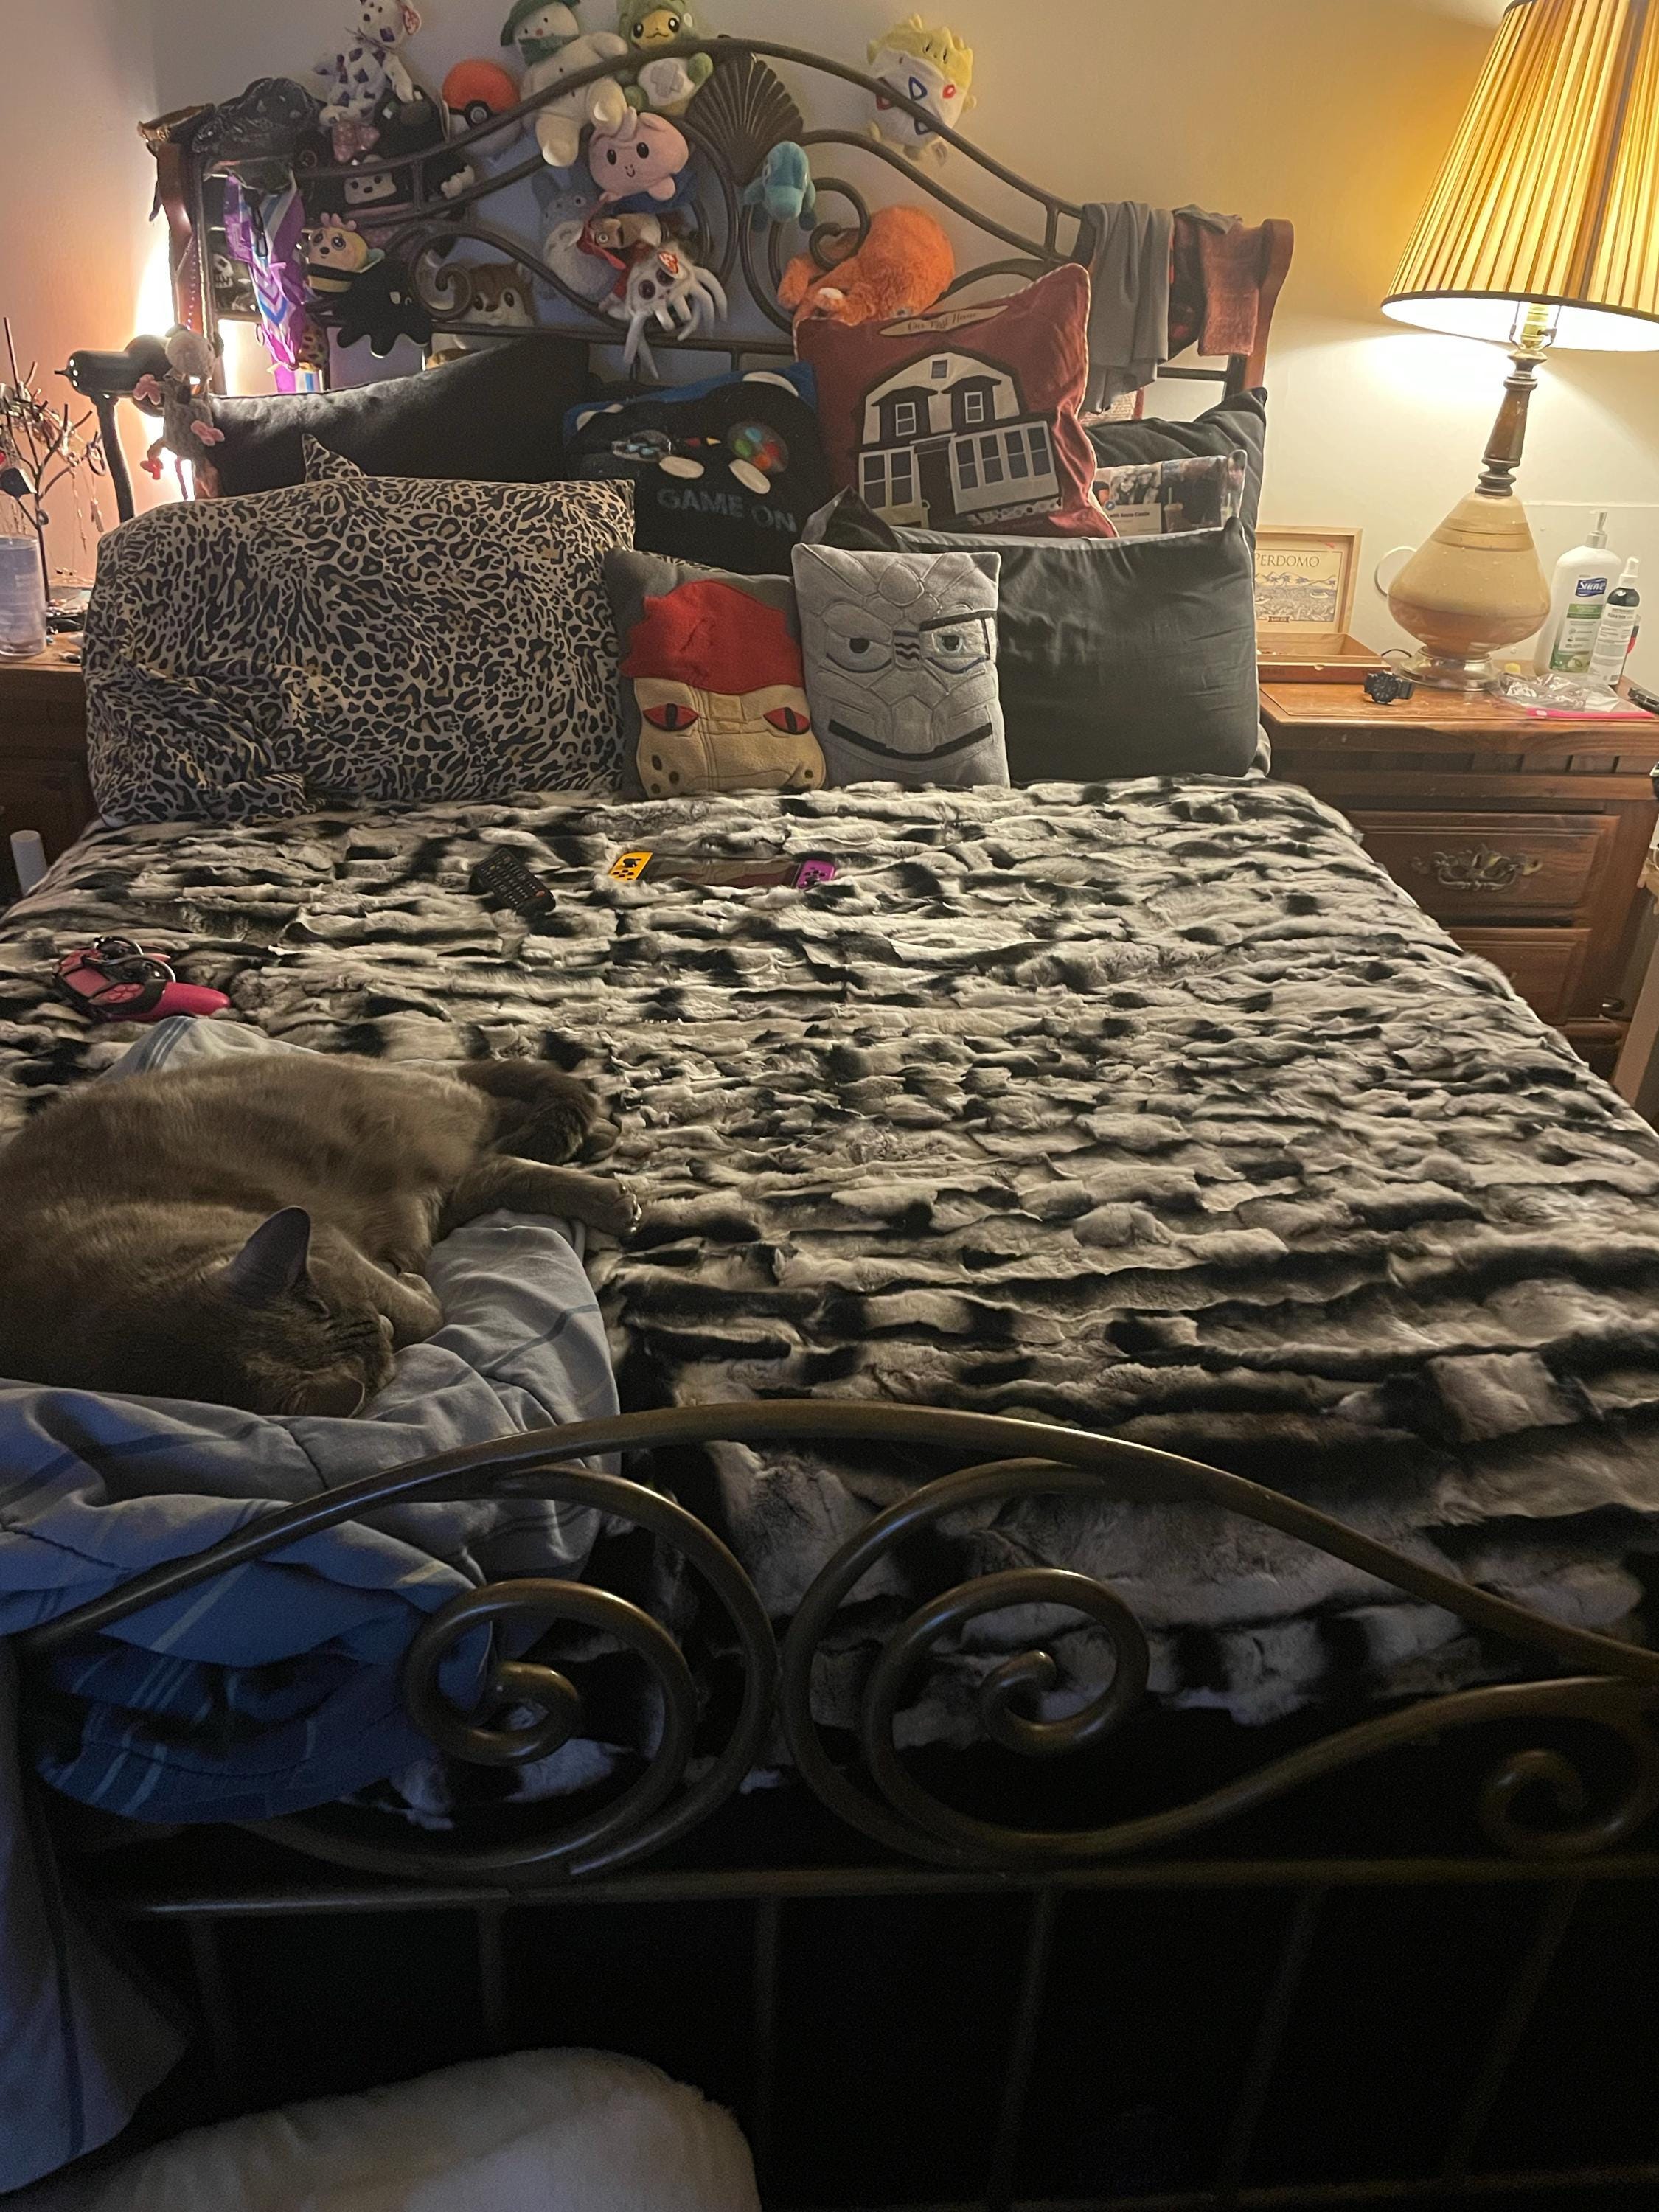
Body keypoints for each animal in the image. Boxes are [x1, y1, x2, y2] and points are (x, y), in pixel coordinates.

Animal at [0, 1055, 634, 1419]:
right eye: (381, 1362)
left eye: (340, 1303)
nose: (380, 1328)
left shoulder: (333, 1249)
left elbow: (422, 1312)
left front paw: (412, 1292)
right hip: (453, 1181)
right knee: (504, 1164)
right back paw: (606, 1176)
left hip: (428, 1125)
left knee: (502, 1110)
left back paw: (608, 1157)